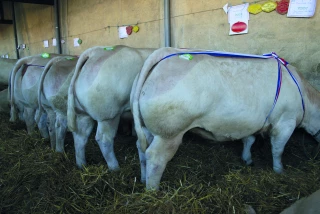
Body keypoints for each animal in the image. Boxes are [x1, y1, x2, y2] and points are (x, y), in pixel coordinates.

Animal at [131, 47, 320, 190]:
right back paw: (153, 190)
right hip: (169, 132)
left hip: (148, 128)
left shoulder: (251, 121)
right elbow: (278, 149)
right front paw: (280, 171)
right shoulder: (286, 122)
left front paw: (247, 159)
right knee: (155, 157)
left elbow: (249, 140)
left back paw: (142, 179)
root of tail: (165, 51)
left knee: (141, 148)